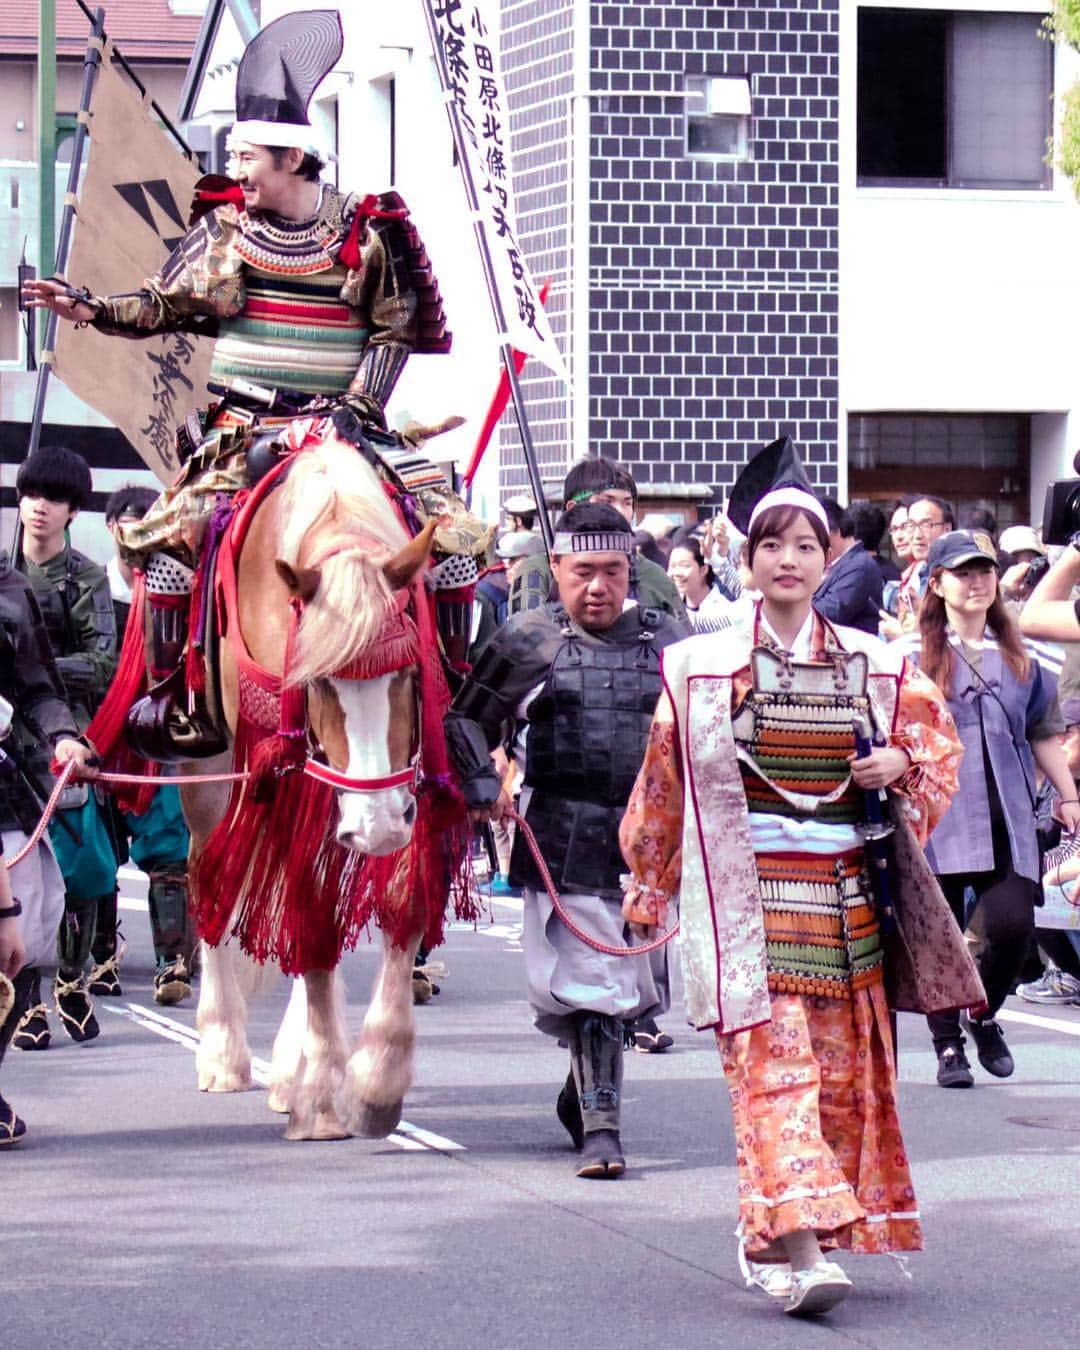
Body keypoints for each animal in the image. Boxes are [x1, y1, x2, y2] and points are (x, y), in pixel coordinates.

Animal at [175, 421, 467, 1139]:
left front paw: (376, 1078)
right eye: (314, 684)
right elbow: (305, 912)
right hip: (210, 771)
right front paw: (327, 1094)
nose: (375, 825)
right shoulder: (285, 776)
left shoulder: (409, 782)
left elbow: (397, 905)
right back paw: (224, 1049)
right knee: (211, 884)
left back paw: (287, 1066)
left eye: (410, 674)